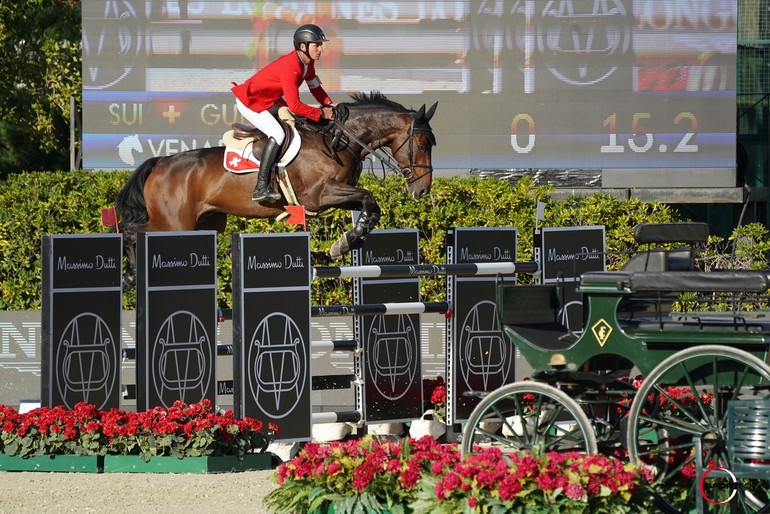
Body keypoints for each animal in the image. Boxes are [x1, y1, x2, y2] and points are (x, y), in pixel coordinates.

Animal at [115, 90, 438, 286]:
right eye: (422, 144)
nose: (422, 190)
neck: (340, 140)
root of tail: (160, 163)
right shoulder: (321, 195)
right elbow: (369, 198)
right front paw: (346, 242)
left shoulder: (338, 194)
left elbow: (370, 205)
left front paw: (350, 239)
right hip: (174, 223)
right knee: (132, 231)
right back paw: (130, 275)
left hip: (202, 224)